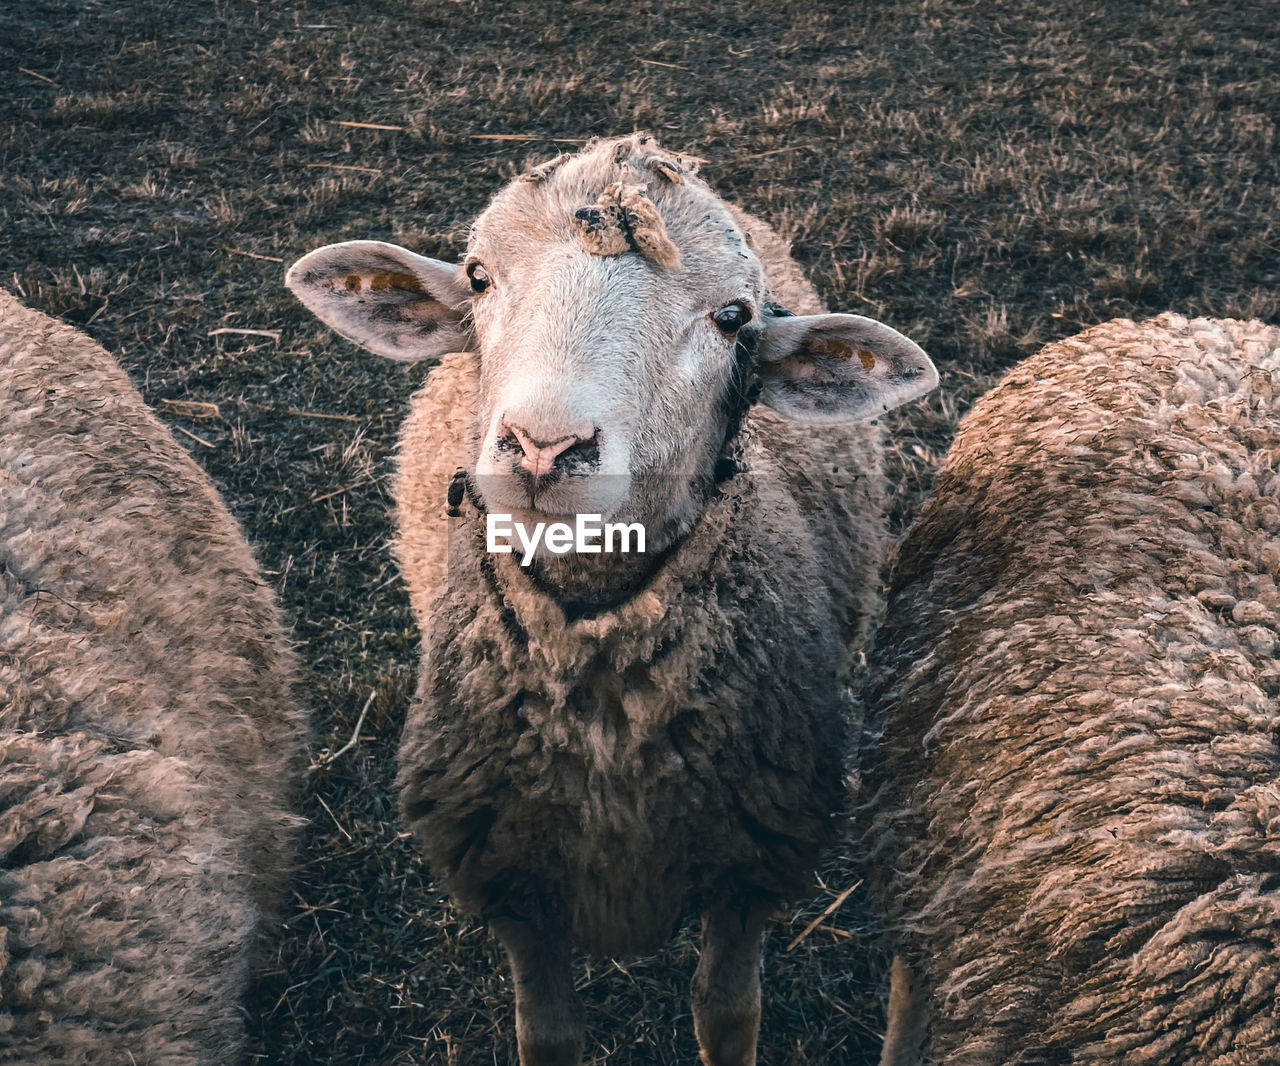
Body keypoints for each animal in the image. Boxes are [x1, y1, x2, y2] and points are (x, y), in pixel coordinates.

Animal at [285, 135, 936, 1064]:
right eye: (478, 277)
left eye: (732, 318)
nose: (542, 447)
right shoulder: (517, 879)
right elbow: (549, 1033)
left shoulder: (748, 865)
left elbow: (728, 1013)